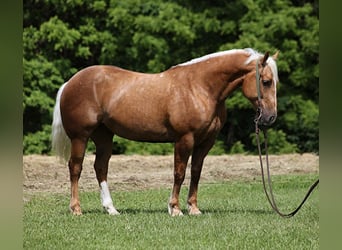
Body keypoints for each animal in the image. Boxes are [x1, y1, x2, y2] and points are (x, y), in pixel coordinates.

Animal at [52, 47, 280, 216]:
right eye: (266, 82)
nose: (270, 118)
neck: (200, 87)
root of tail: (70, 83)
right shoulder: (184, 139)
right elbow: (179, 173)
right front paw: (175, 209)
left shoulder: (205, 142)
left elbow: (196, 172)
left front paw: (193, 208)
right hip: (80, 137)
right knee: (75, 168)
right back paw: (76, 209)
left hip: (104, 136)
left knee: (100, 167)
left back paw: (111, 209)